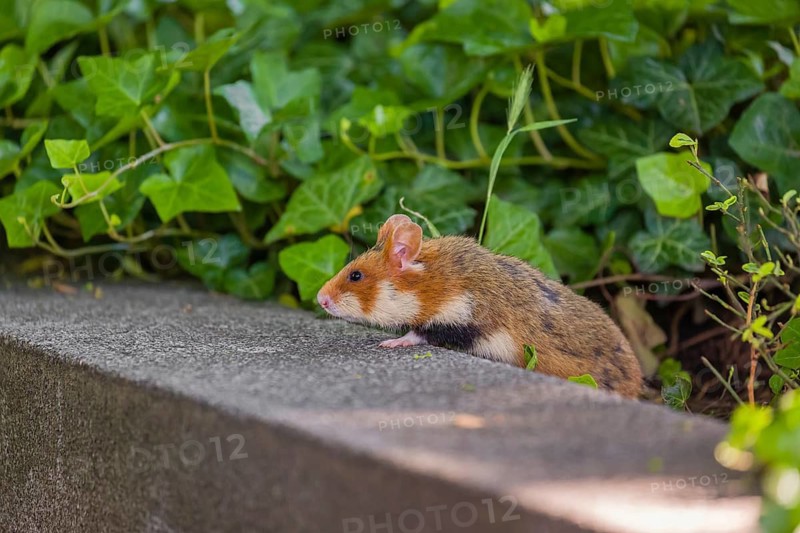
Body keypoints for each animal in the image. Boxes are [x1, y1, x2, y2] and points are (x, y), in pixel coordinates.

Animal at [317, 214, 642, 398]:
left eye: (355, 275)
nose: (320, 299)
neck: (431, 284)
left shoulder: (457, 318)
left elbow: (417, 334)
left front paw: (390, 342)